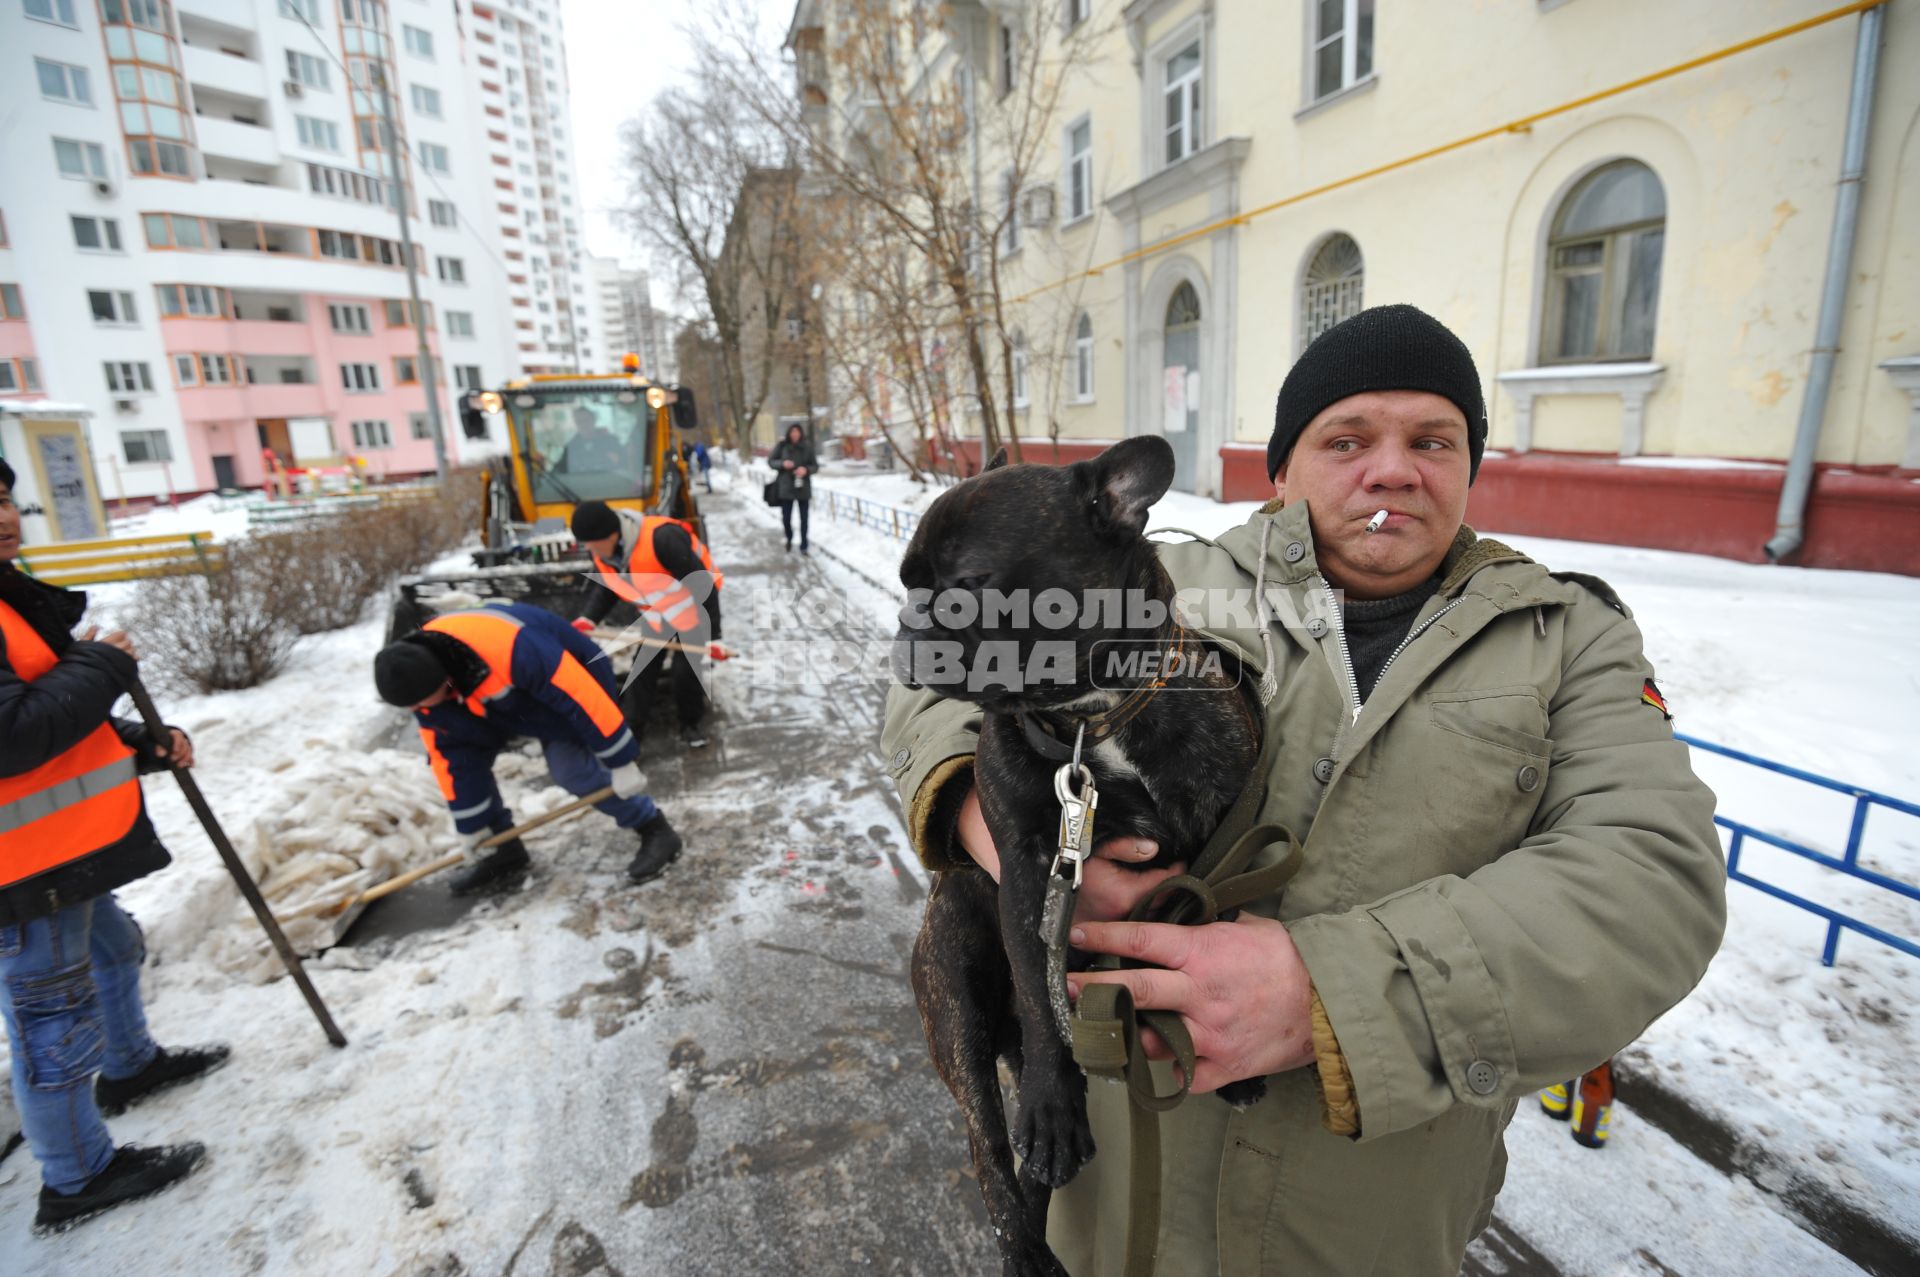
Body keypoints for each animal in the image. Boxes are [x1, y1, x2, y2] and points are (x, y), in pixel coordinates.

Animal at [894, 437, 1267, 1275]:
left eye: (966, 587)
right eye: (907, 584)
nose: (905, 625)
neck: (1088, 721)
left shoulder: (1229, 831)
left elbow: (1227, 913)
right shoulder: (1028, 869)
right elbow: (1041, 989)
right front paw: (1054, 1107)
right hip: (956, 991)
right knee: (991, 1151)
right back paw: (1025, 1232)